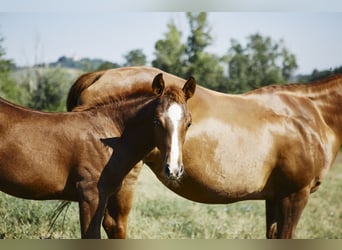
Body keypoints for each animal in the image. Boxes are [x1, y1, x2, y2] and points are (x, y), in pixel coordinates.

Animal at [0, 73, 196, 238]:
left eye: (189, 123)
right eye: (156, 121)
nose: (173, 170)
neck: (110, 133)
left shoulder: (106, 197)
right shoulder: (90, 195)